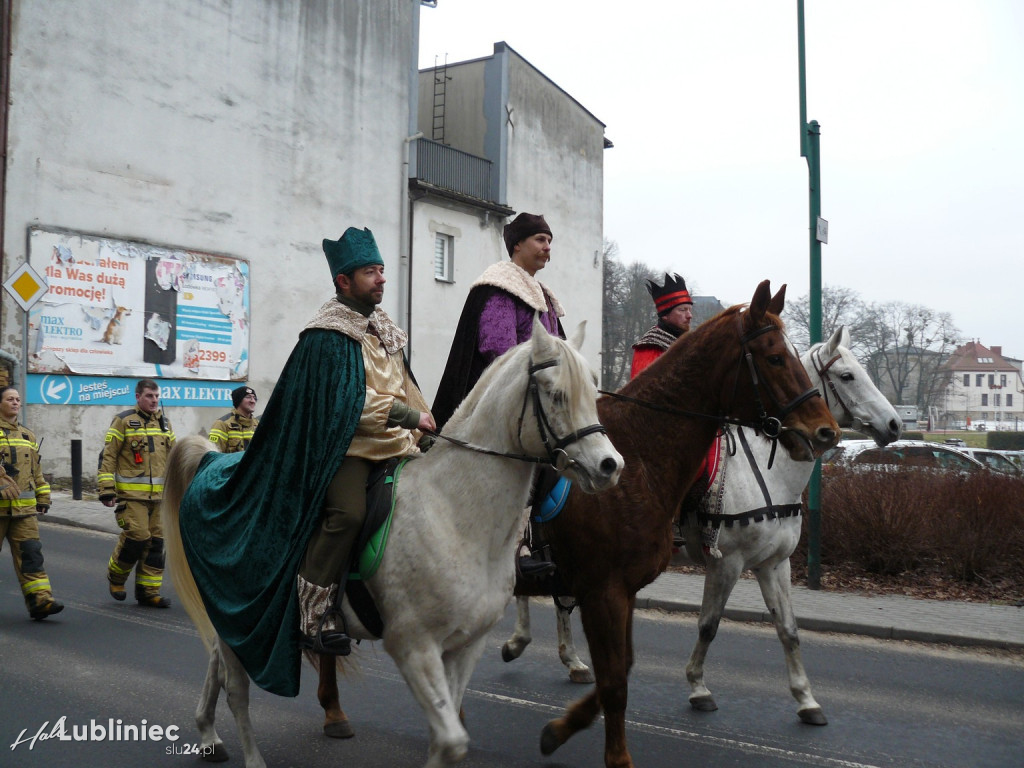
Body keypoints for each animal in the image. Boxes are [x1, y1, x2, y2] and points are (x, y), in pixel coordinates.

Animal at [163, 321, 622, 768]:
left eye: (593, 392)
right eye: (556, 394)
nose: (610, 466)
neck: (453, 514)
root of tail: (213, 461)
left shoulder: (465, 647)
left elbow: (448, 739)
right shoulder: (412, 646)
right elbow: (451, 740)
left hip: (234, 619)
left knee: (216, 662)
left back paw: (208, 734)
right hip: (240, 613)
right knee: (236, 690)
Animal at [499, 327, 901, 724]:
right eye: (847, 376)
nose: (895, 424)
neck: (768, 472)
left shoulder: (774, 564)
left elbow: (788, 629)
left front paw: (806, 699)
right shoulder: (727, 562)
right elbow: (709, 624)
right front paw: (698, 687)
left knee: (557, 594)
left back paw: (571, 659)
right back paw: (520, 642)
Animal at [520, 280, 839, 765]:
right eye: (774, 357)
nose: (826, 432)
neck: (640, 454)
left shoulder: (630, 587)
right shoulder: (614, 585)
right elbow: (637, 666)